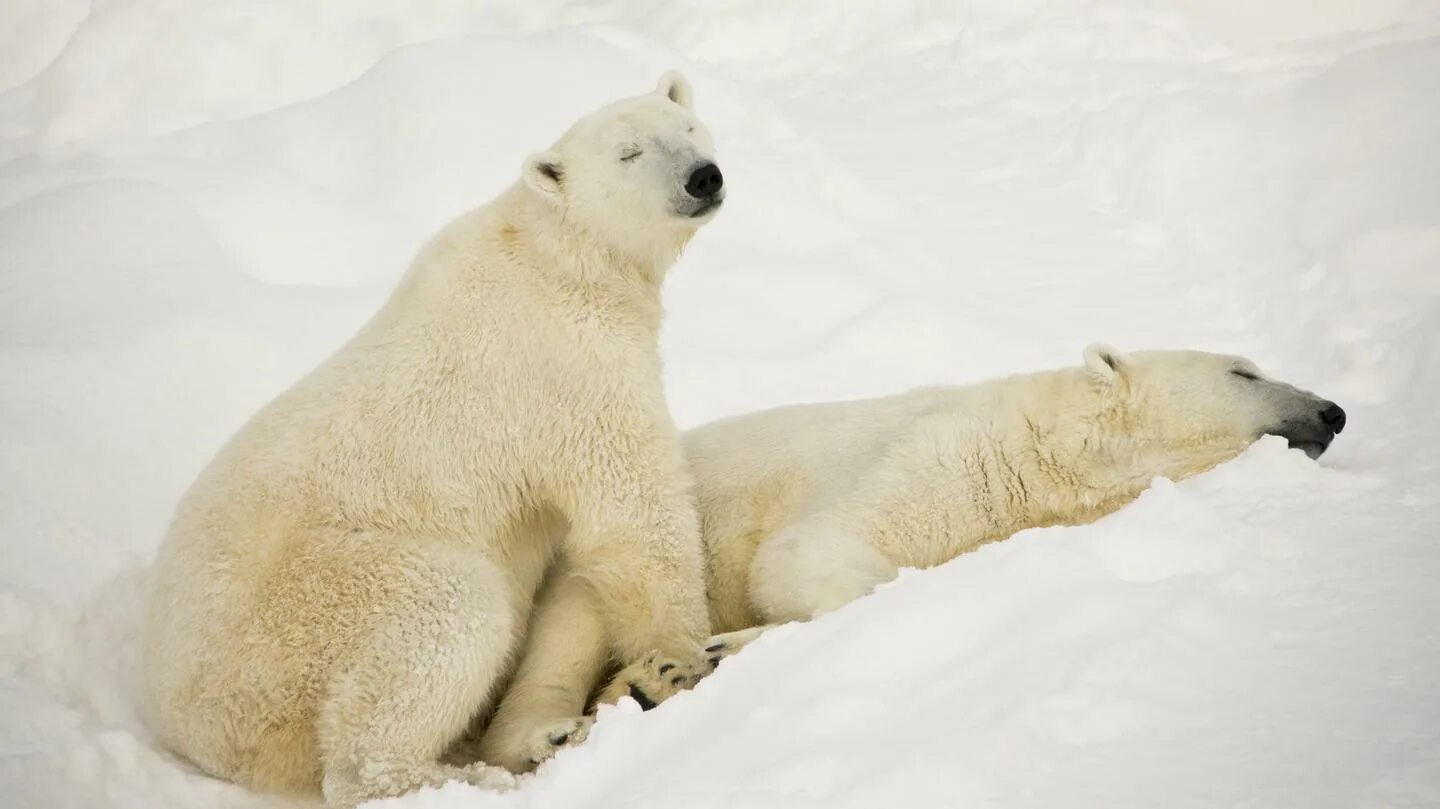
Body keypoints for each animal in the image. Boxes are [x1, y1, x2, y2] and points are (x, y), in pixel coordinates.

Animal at [143, 72, 720, 800]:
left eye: (690, 129)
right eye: (629, 153)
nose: (704, 177)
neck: (555, 255)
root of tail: (181, 720)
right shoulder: (565, 363)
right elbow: (634, 510)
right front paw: (683, 656)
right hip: (312, 617)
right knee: (445, 616)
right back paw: (477, 774)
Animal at [478, 341, 1342, 765]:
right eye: (1245, 371)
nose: (1333, 410)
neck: (1042, 454)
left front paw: (700, 659)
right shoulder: (930, 456)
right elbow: (808, 554)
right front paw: (708, 653)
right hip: (602, 538)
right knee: (572, 626)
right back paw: (577, 715)